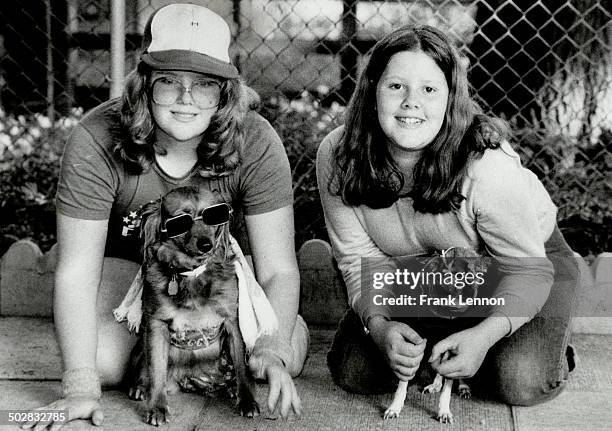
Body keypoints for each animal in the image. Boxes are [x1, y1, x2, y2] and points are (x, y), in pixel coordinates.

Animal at [125, 187, 260, 426]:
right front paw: (157, 407)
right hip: (141, 346)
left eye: (213, 215)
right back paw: (139, 387)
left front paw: (247, 399)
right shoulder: (156, 324)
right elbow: (156, 370)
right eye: (181, 221)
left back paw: (230, 387)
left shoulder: (232, 321)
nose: (206, 245)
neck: (192, 273)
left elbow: (242, 368)